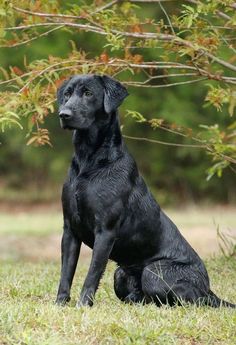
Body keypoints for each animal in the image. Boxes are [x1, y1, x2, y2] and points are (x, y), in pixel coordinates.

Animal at [55, 74, 234, 308]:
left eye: (88, 93)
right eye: (67, 94)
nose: (64, 114)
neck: (89, 161)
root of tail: (209, 289)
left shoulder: (105, 231)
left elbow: (92, 274)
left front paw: (83, 305)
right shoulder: (70, 229)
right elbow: (66, 273)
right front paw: (60, 304)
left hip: (154, 272)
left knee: (186, 299)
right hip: (120, 274)